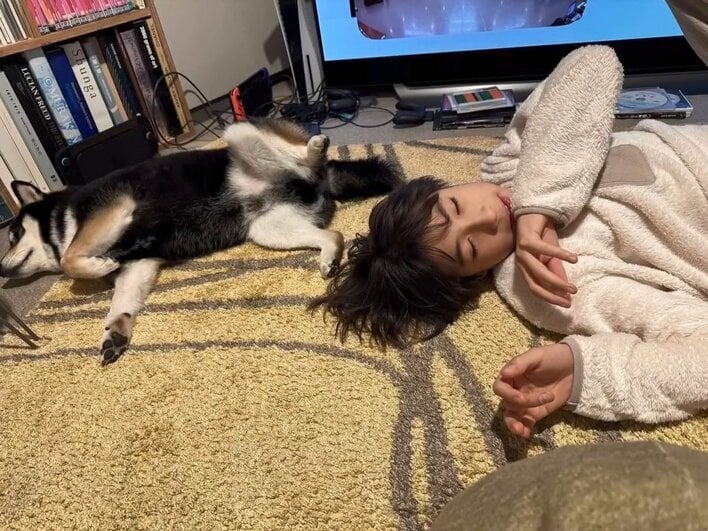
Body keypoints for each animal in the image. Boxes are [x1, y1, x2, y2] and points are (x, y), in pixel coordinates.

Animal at [0, 119, 401, 364]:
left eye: (13, 234)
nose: (2, 268)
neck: (64, 217)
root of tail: (319, 179)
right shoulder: (139, 265)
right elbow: (122, 302)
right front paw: (116, 331)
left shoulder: (111, 209)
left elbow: (71, 258)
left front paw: (96, 264)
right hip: (268, 228)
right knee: (331, 234)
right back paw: (330, 257)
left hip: (239, 131)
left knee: (304, 154)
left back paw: (316, 148)